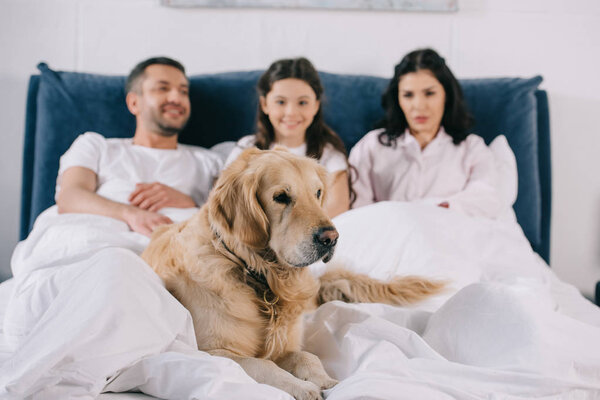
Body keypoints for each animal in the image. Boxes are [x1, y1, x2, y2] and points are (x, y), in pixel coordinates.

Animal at [139, 148, 440, 400]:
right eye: (281, 197)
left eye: (317, 193)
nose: (331, 238)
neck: (263, 280)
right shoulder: (211, 352)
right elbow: (262, 364)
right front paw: (303, 388)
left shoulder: (285, 346)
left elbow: (307, 357)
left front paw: (327, 381)